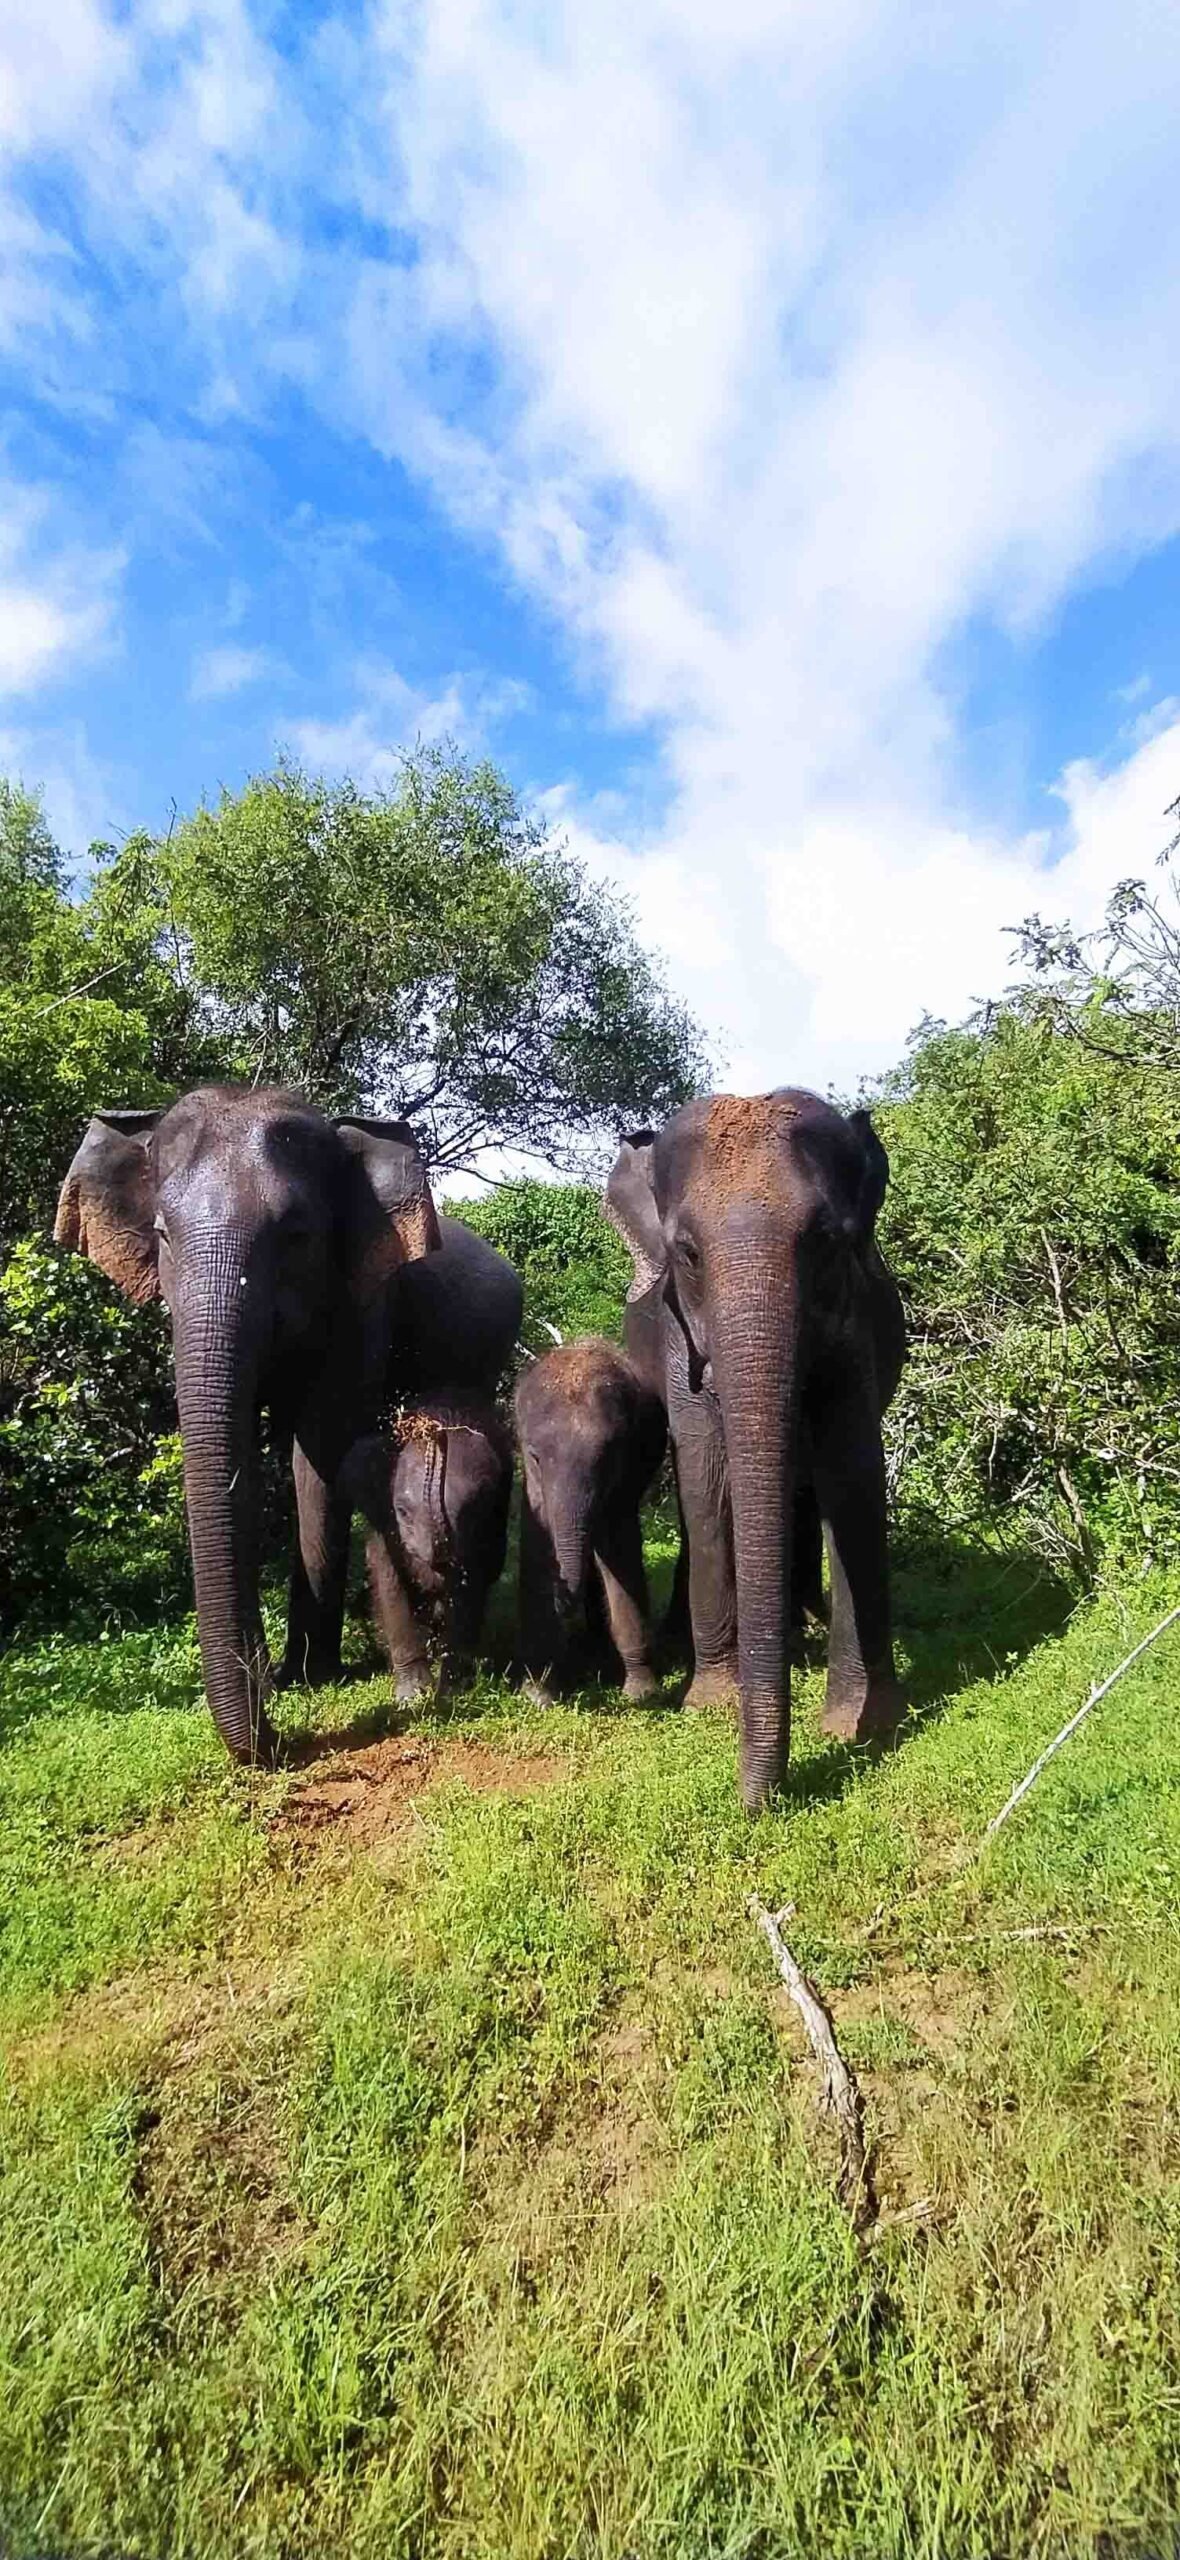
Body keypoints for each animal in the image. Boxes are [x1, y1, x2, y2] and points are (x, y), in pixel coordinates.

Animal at [338, 1403, 513, 1695]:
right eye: (402, 1511)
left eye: (473, 1510)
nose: (434, 1433)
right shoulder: (384, 1523)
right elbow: (388, 1579)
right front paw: (414, 1695)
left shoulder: (488, 1525)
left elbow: (470, 1586)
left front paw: (452, 1690)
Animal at [515, 1337, 667, 1702]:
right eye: (535, 1457)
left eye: (608, 1458)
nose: (562, 1596)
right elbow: (537, 1542)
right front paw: (537, 1695)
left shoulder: (628, 1474)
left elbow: (618, 1547)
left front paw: (641, 1694)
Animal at [605, 1090, 906, 1812]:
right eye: (687, 1253)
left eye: (827, 1241)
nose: (755, 1805)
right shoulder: (677, 1332)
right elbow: (708, 1468)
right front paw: (711, 1703)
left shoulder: (854, 1322)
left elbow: (852, 1467)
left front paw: (860, 1723)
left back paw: (805, 1625)